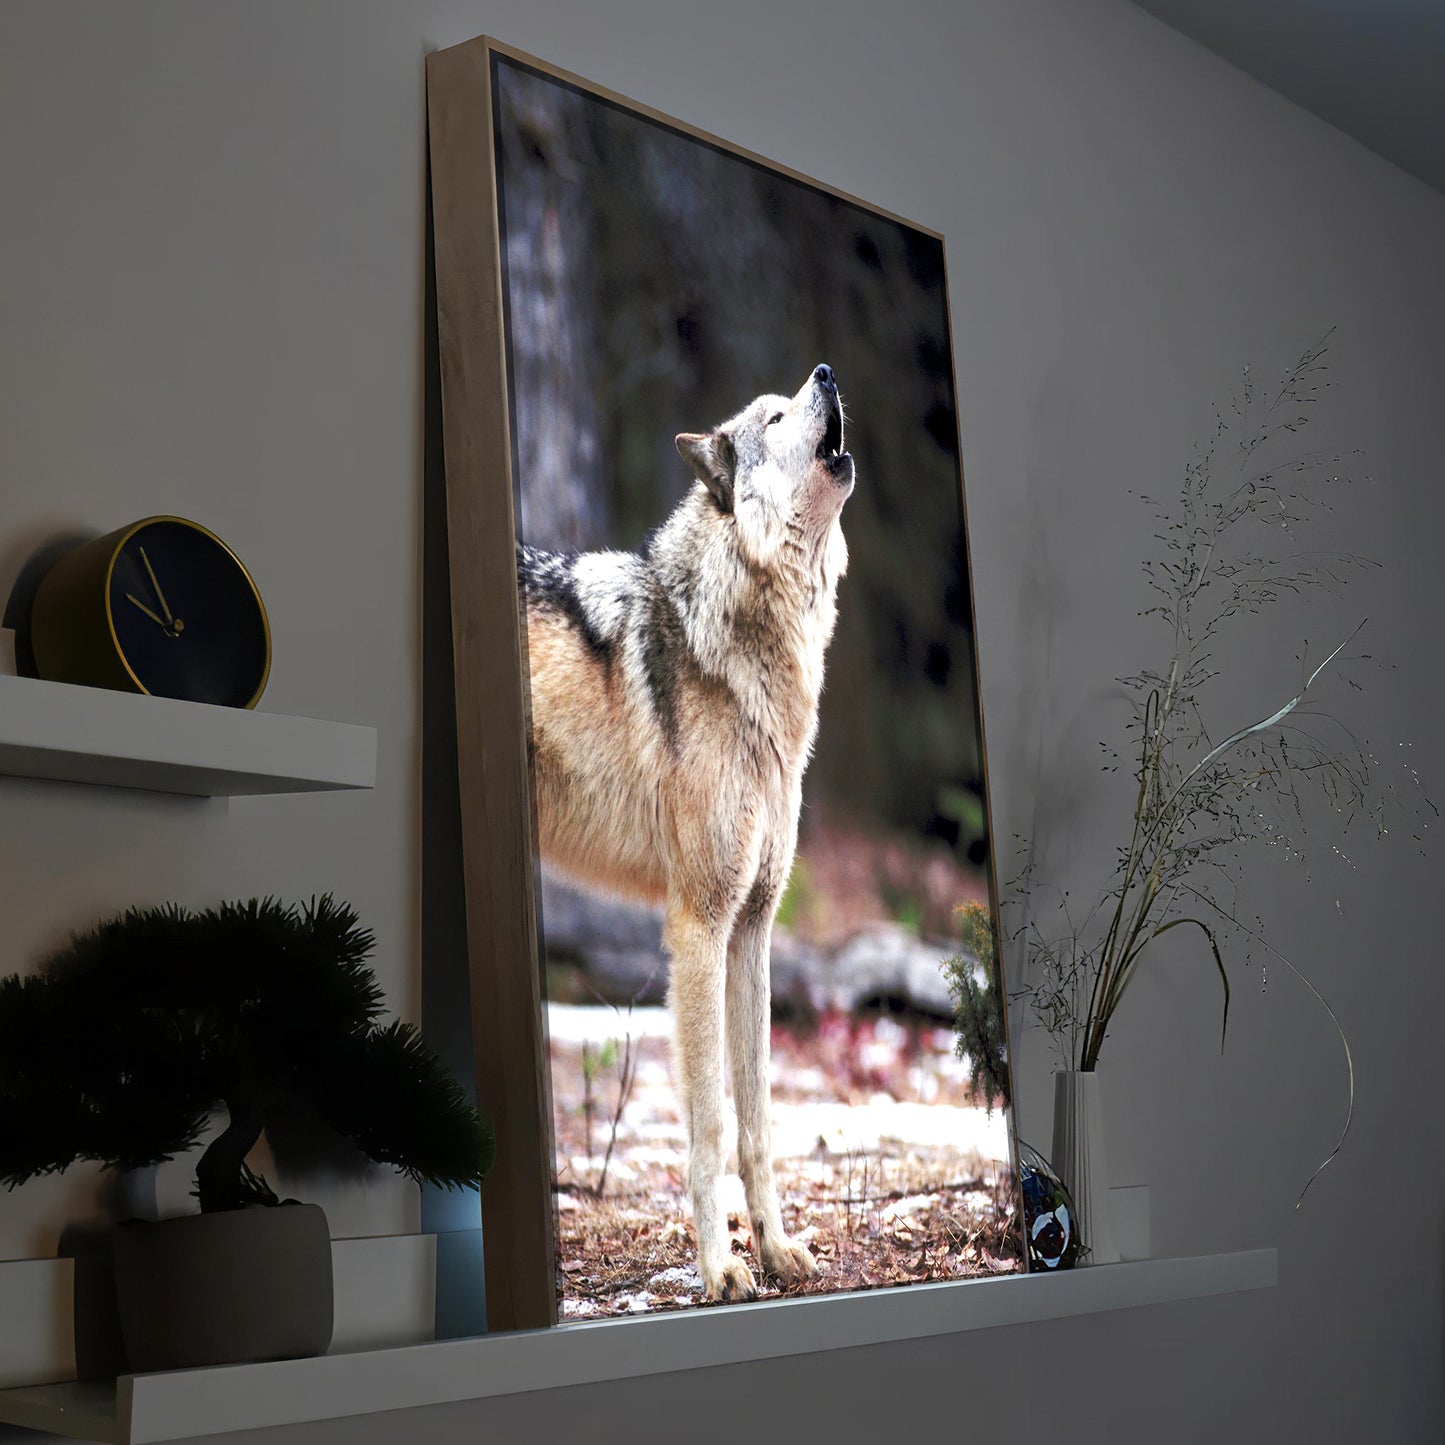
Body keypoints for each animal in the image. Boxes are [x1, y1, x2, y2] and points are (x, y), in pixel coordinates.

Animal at [520, 364, 854, 1301]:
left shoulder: (753, 928)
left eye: (792, 398)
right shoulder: (698, 927)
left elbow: (758, 1121)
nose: (826, 373)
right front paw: (718, 1266)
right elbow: (708, 1126)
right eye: (772, 417)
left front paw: (775, 1249)